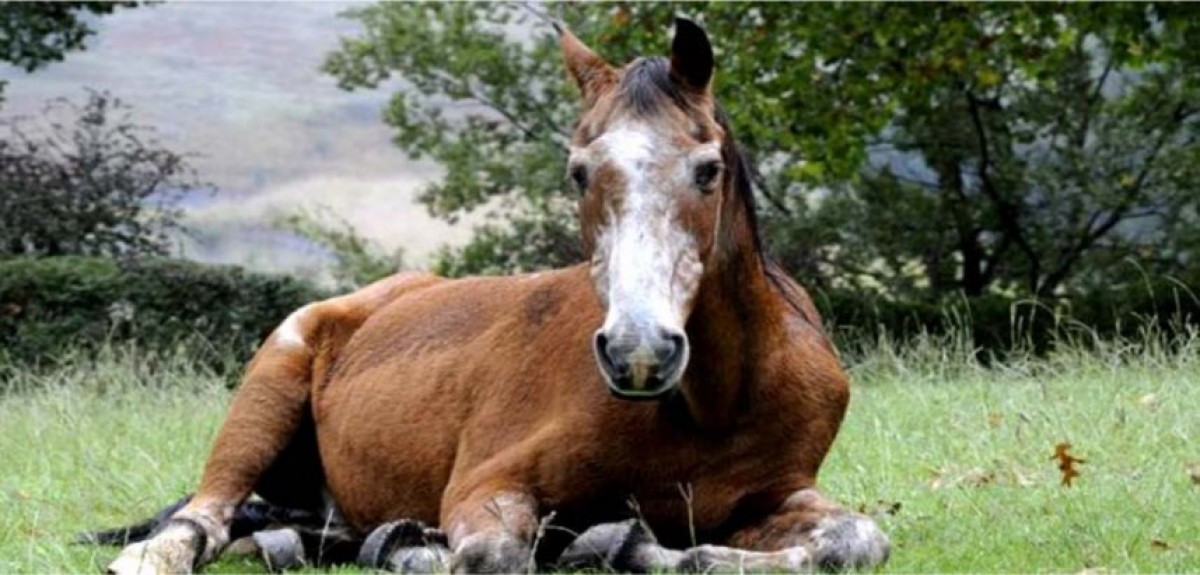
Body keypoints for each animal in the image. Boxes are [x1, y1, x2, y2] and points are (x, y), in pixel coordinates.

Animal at [100, 18, 890, 574]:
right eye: (578, 171)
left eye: (708, 169)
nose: (638, 352)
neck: (713, 404)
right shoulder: (487, 485)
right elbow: (491, 554)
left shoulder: (775, 496)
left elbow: (855, 539)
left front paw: (620, 543)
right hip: (268, 386)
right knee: (204, 517)